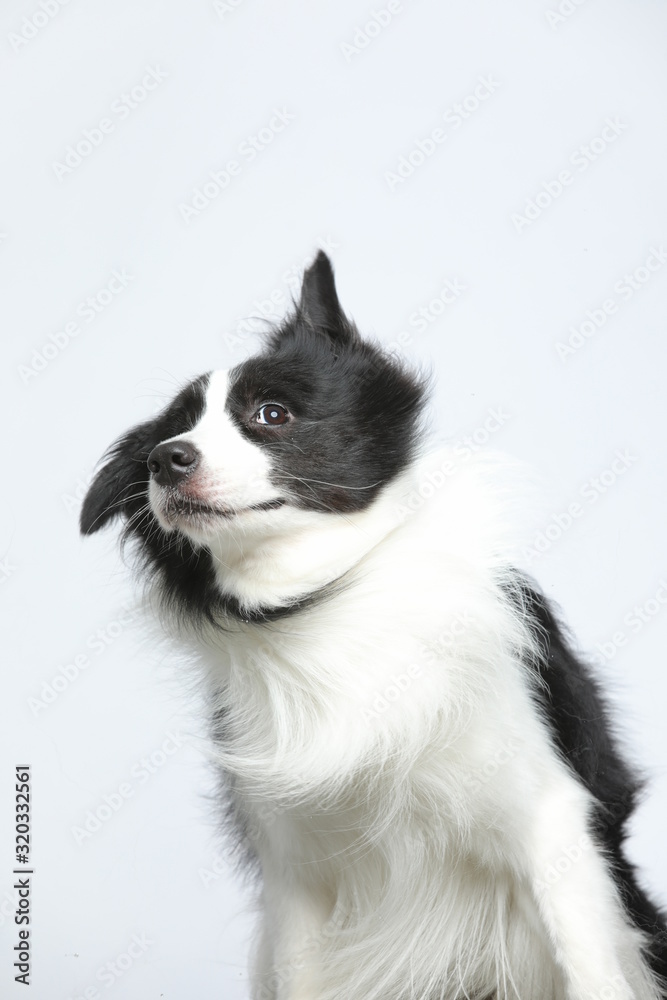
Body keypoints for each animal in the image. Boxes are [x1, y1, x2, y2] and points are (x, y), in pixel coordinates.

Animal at [81, 254, 664, 996]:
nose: (166, 459)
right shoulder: (294, 873)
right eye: (165, 437)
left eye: (272, 414)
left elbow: (590, 970)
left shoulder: (551, 823)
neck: (329, 596)